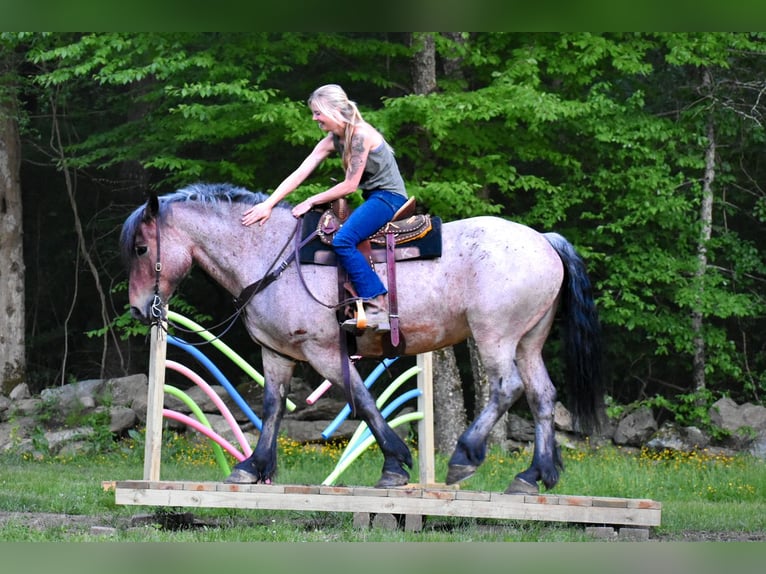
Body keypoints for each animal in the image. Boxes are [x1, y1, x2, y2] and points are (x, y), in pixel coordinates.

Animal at [121, 183, 608, 496]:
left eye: (142, 249)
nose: (139, 309)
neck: (269, 255)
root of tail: (544, 240)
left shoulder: (322, 350)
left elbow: (364, 401)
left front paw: (394, 464)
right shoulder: (277, 352)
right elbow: (273, 407)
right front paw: (253, 468)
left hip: (496, 335)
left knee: (508, 388)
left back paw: (465, 457)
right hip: (529, 340)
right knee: (543, 396)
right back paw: (534, 475)